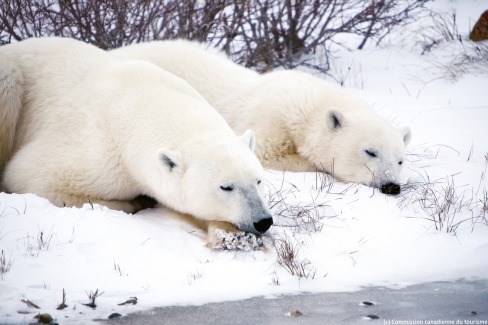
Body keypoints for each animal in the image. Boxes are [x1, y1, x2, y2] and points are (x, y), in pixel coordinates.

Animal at [0, 37, 272, 243]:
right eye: (226, 186)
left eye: (258, 180)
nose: (263, 221)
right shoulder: (98, 152)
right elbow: (29, 176)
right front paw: (135, 201)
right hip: (11, 79)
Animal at [110, 39, 412, 194]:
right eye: (370, 151)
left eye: (400, 160)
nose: (391, 186)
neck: (305, 102)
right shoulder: (270, 118)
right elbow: (270, 154)